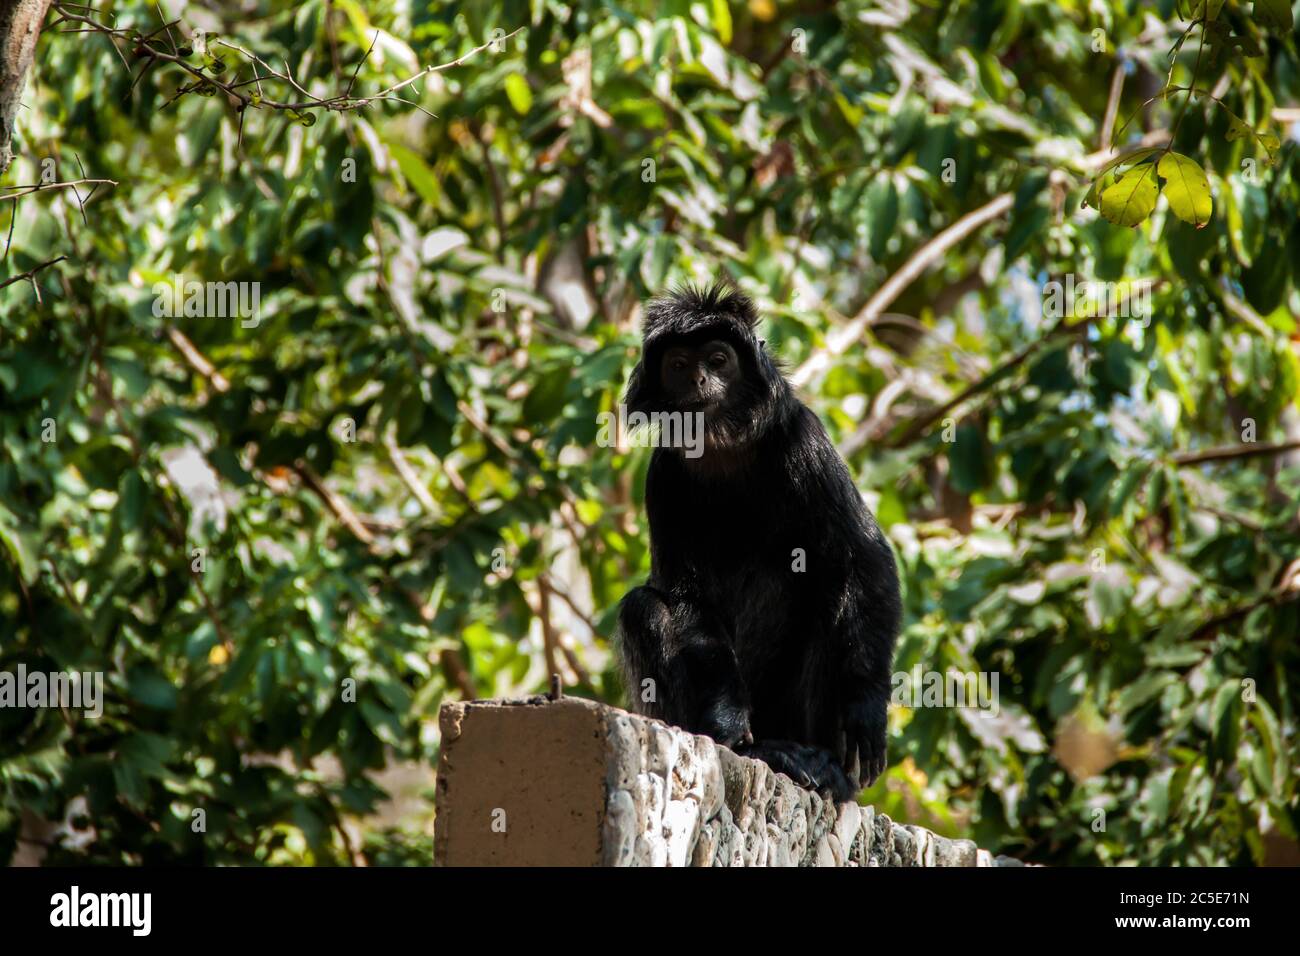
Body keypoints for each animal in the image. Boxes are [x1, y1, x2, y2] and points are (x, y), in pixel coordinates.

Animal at [613, 282, 899, 801]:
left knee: (831, 594)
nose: (698, 379)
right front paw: (729, 727)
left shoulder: (803, 435)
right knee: (643, 608)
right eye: (678, 365)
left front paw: (868, 710)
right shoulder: (664, 474)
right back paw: (762, 752)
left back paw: (825, 767)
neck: (722, 447)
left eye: (719, 360)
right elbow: (686, 598)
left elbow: (862, 557)